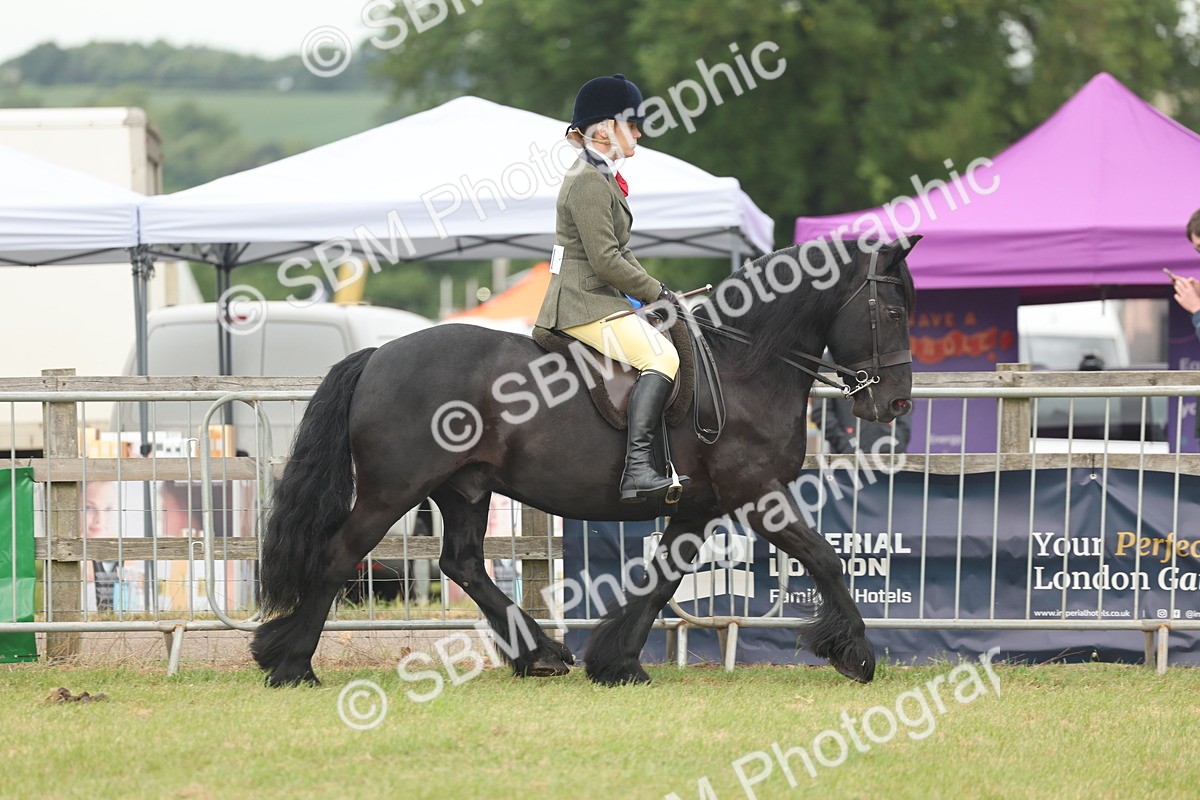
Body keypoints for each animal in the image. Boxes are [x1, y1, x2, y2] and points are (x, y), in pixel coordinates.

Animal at [250, 237, 918, 687]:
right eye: (893, 312)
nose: (895, 404)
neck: (744, 366)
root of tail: (379, 355)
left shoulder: (699, 506)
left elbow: (663, 577)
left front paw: (618, 661)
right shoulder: (758, 495)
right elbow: (826, 558)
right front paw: (857, 655)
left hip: (464, 488)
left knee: (462, 564)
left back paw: (541, 654)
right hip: (393, 490)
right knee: (340, 556)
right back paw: (292, 665)